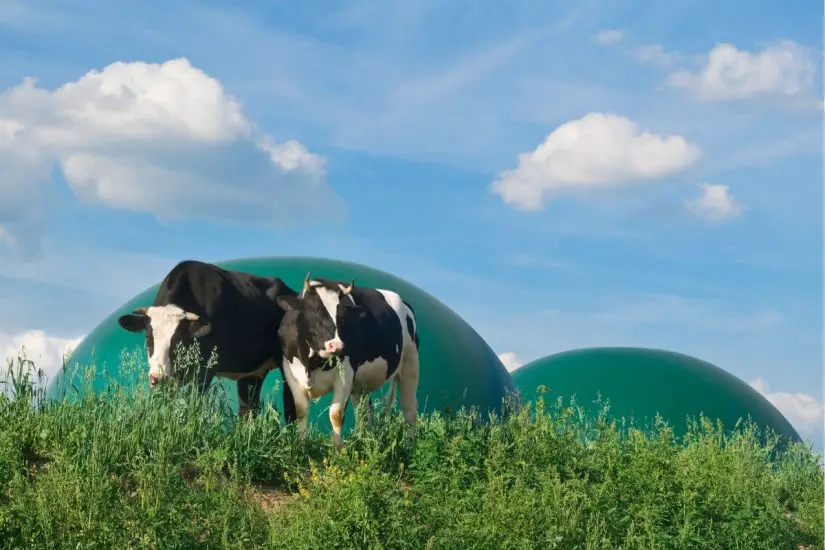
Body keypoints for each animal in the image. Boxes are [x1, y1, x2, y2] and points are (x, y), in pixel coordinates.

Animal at [116, 260, 296, 424]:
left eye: (179, 341)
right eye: (148, 338)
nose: (158, 378)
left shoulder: (206, 369)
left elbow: (192, 402)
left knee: (290, 404)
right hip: (251, 372)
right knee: (248, 410)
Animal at [276, 272, 418, 448]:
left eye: (342, 316)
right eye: (313, 310)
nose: (336, 345)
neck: (312, 362)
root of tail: (405, 304)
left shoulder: (346, 373)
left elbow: (336, 414)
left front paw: (337, 449)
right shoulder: (291, 372)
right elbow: (301, 410)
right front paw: (301, 445)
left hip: (410, 364)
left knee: (410, 410)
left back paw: (409, 446)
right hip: (360, 385)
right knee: (364, 413)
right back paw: (362, 440)